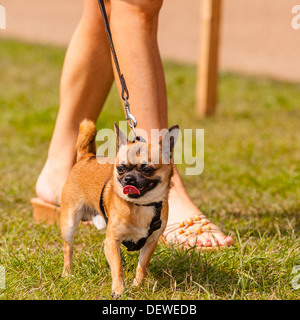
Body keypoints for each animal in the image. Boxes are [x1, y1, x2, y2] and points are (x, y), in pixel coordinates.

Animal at [59, 120, 179, 298]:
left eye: (147, 170)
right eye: (121, 168)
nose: (129, 178)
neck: (140, 206)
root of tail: (87, 157)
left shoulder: (150, 243)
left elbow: (142, 267)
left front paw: (137, 287)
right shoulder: (112, 239)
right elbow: (117, 267)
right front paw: (118, 290)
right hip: (69, 223)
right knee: (68, 248)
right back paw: (68, 273)